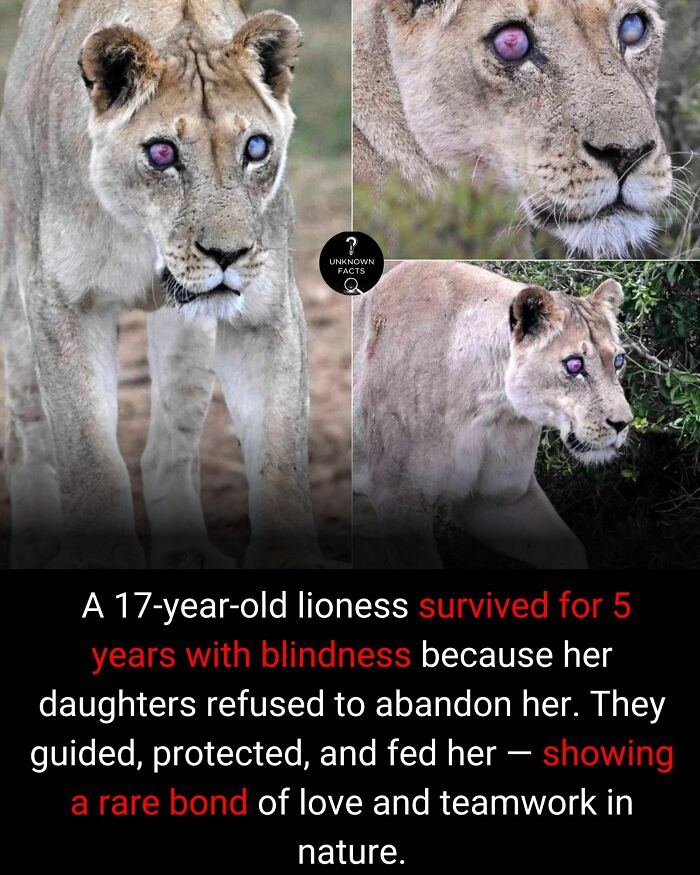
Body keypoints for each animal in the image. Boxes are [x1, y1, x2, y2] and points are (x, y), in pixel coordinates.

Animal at [0, 0, 322, 568]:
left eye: (256, 147)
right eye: (163, 154)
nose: (227, 255)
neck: (145, 240)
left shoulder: (267, 313)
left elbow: (281, 454)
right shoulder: (62, 302)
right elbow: (89, 453)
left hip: (189, 336)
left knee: (167, 453)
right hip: (16, 294)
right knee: (28, 433)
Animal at [353, 262, 633, 569]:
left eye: (618, 361)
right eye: (574, 365)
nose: (623, 424)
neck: (492, 408)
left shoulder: (496, 501)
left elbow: (570, 552)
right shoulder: (399, 502)